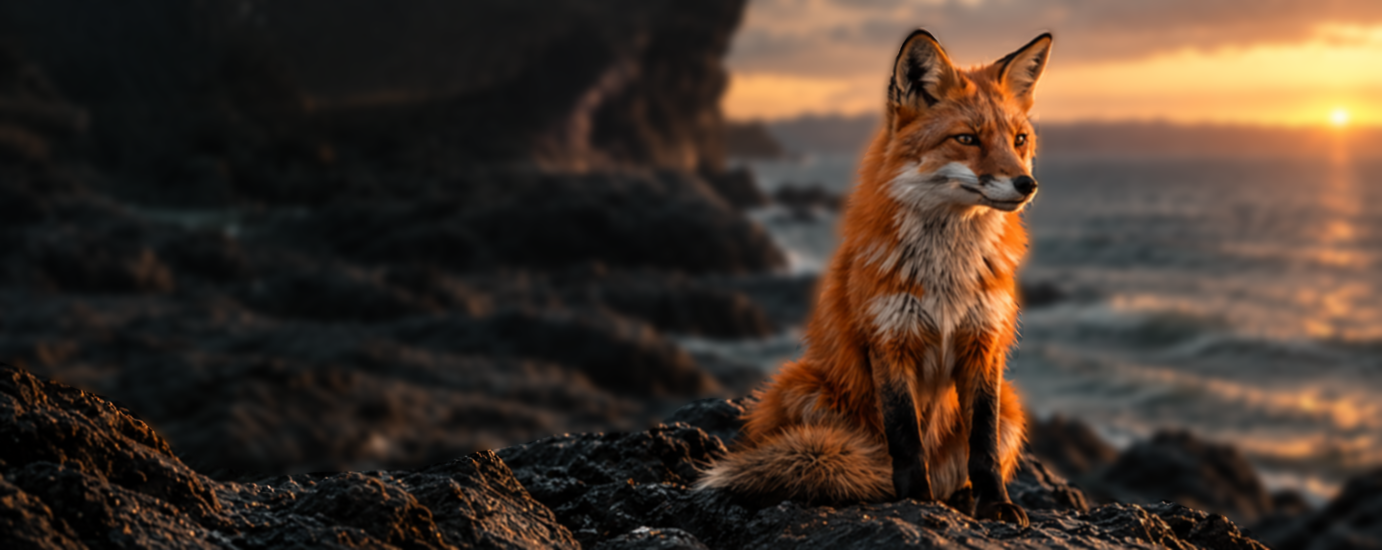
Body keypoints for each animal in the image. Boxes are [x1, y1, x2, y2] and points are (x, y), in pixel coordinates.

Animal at [696, 30, 1052, 526]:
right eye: (967, 138)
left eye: (1019, 140)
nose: (1026, 184)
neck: (946, 273)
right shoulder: (888, 340)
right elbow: (905, 437)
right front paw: (915, 501)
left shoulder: (983, 343)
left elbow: (982, 448)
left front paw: (996, 504)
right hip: (803, 388)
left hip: (1012, 408)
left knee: (959, 466)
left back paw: (959, 498)